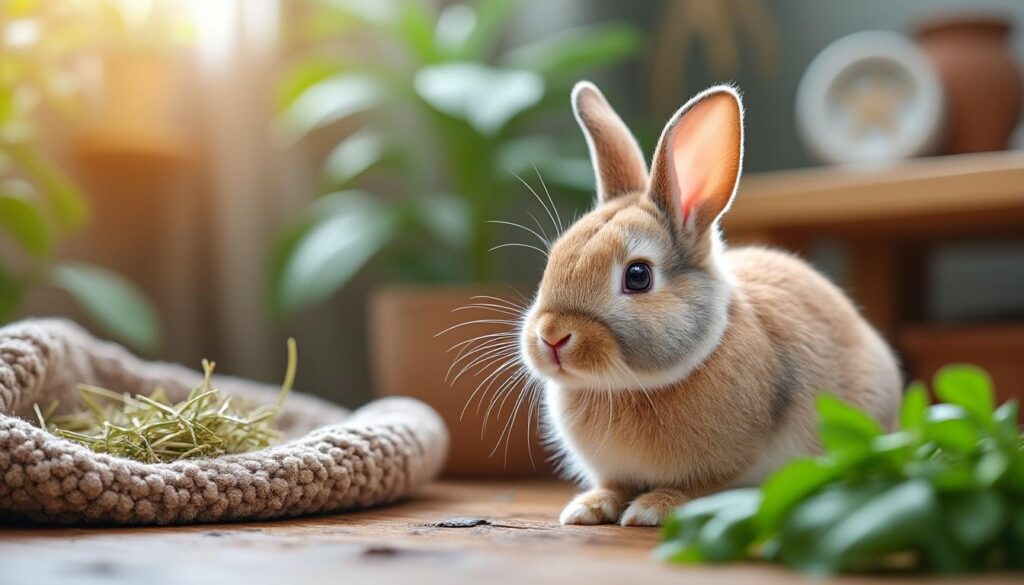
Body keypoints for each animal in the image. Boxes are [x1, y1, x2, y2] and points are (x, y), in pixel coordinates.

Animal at [518, 82, 902, 527]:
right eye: (554, 257)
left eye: (638, 275)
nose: (552, 336)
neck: (629, 386)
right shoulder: (615, 471)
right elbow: (614, 485)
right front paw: (587, 508)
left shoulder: (733, 464)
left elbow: (701, 487)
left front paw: (650, 509)